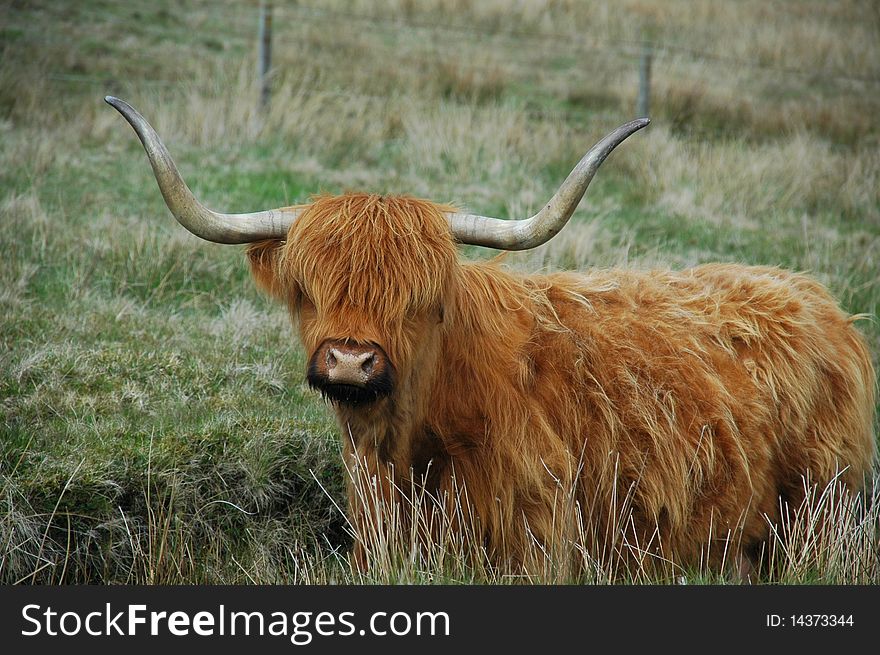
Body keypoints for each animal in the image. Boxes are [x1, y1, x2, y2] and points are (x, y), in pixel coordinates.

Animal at [106, 95, 876, 576]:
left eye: (418, 301)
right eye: (307, 290)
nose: (350, 361)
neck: (409, 444)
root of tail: (819, 300)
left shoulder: (540, 538)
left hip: (821, 512)